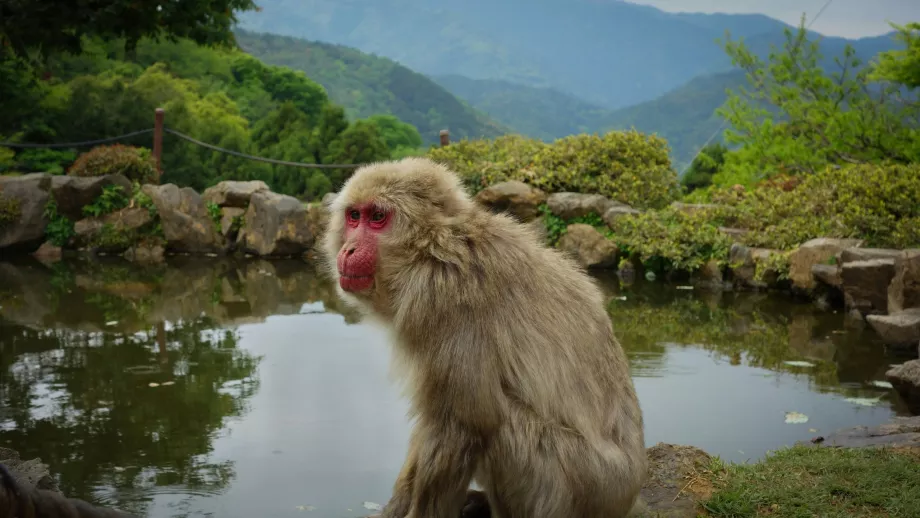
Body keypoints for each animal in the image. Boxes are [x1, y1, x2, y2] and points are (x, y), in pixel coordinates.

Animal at [322, 158, 648, 518]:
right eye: (354, 216)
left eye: (378, 217)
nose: (349, 248)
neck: (436, 249)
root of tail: (629, 493)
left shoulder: (449, 304)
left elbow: (460, 425)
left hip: (578, 486)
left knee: (498, 426)